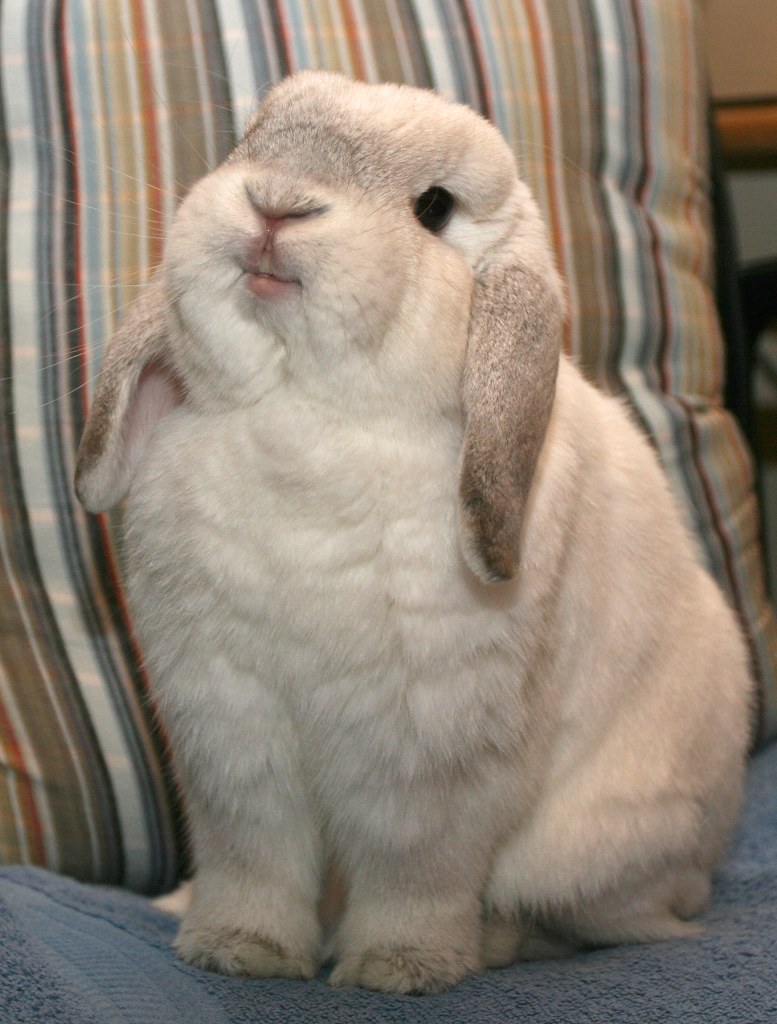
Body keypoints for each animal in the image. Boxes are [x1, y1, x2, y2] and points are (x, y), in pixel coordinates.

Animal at [74, 71, 752, 995]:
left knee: (596, 918)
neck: (305, 419)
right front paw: (238, 952)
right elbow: (254, 863)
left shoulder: (427, 762)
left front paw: (397, 969)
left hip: (598, 856)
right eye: (249, 140)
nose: (276, 205)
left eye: (432, 208)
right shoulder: (230, 733)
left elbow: (414, 878)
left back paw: (495, 943)